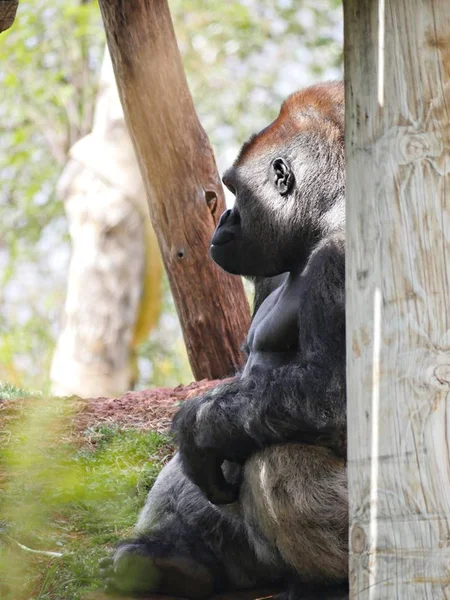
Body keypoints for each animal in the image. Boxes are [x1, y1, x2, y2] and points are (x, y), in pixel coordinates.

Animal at [101, 81, 348, 600]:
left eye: (235, 191)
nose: (224, 219)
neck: (323, 222)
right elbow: (223, 406)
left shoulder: (343, 255)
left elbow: (329, 394)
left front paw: (194, 428)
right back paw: (177, 563)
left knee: (276, 461)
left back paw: (333, 581)